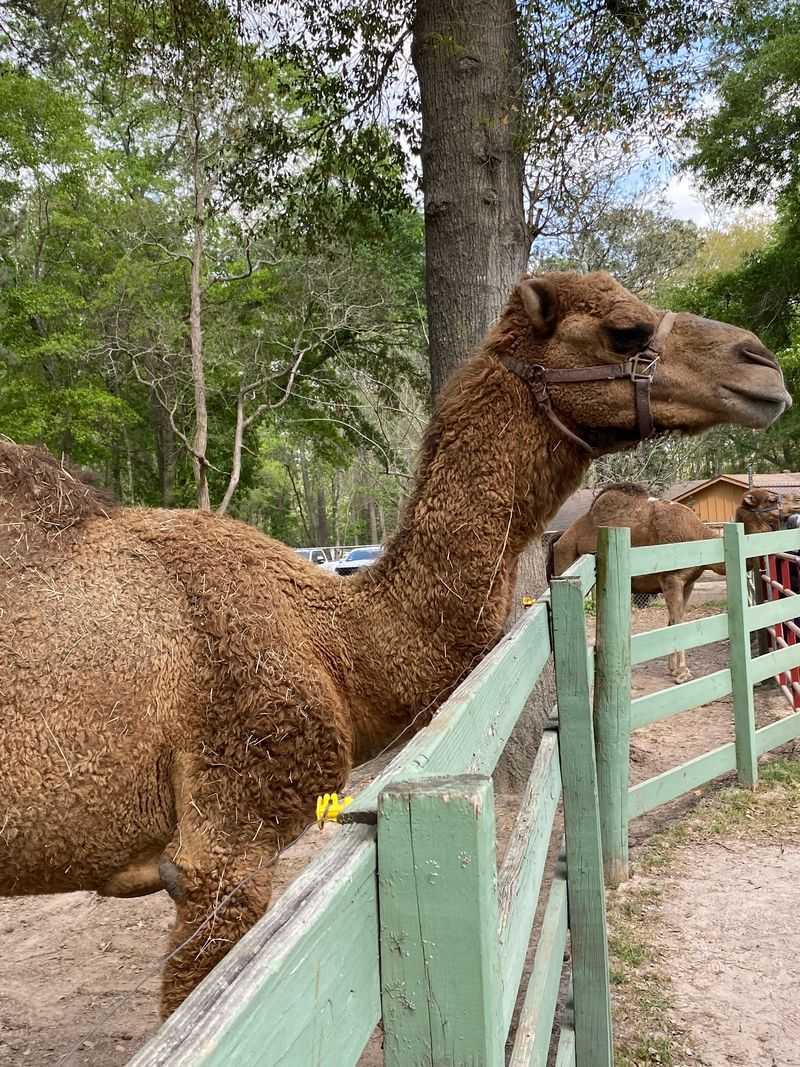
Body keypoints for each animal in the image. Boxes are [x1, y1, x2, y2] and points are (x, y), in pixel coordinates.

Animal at [554, 483, 800, 682]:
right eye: (771, 499)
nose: (796, 500)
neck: (700, 538)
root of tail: (559, 539)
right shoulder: (671, 578)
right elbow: (679, 621)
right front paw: (682, 673)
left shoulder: (688, 581)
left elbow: (675, 620)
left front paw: (673, 669)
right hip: (567, 562)